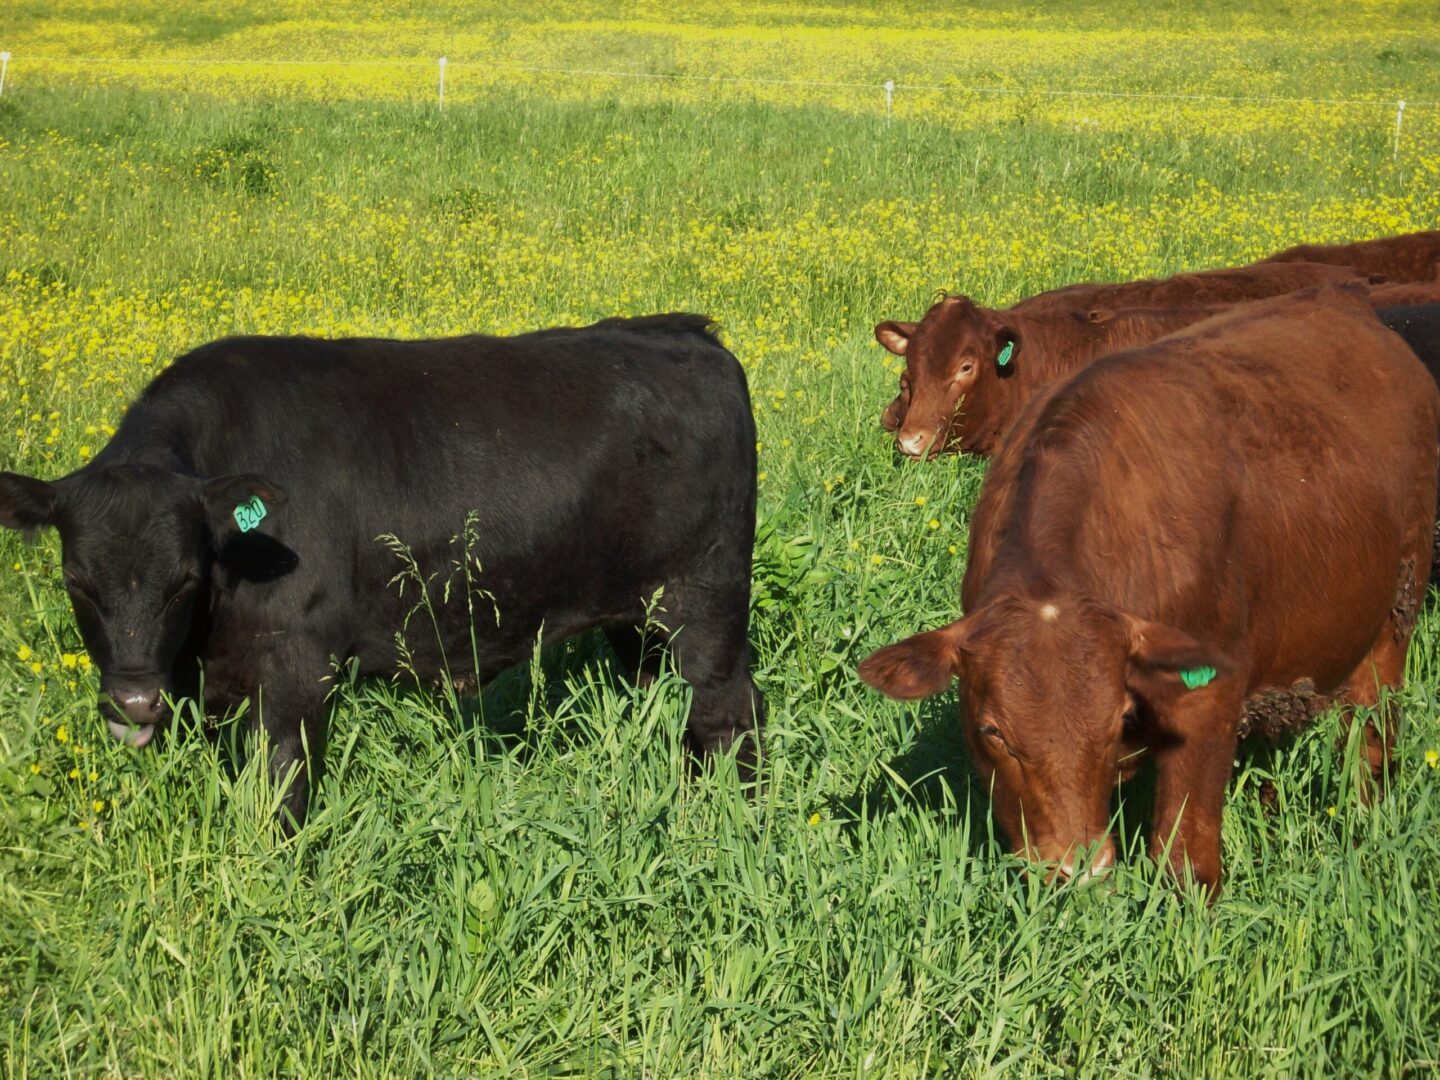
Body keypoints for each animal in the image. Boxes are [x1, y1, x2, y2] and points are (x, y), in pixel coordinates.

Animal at [0, 316, 766, 823]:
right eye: (76, 582)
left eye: (185, 578)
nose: (134, 702)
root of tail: (686, 333)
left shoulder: (298, 670)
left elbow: (281, 786)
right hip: (638, 618)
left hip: (707, 603)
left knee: (730, 713)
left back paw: (731, 819)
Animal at [858, 289, 1434, 904]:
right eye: (993, 732)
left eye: (1116, 721)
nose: (1078, 867)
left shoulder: (1208, 696)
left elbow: (1183, 861)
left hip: (1397, 606)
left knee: (1373, 721)